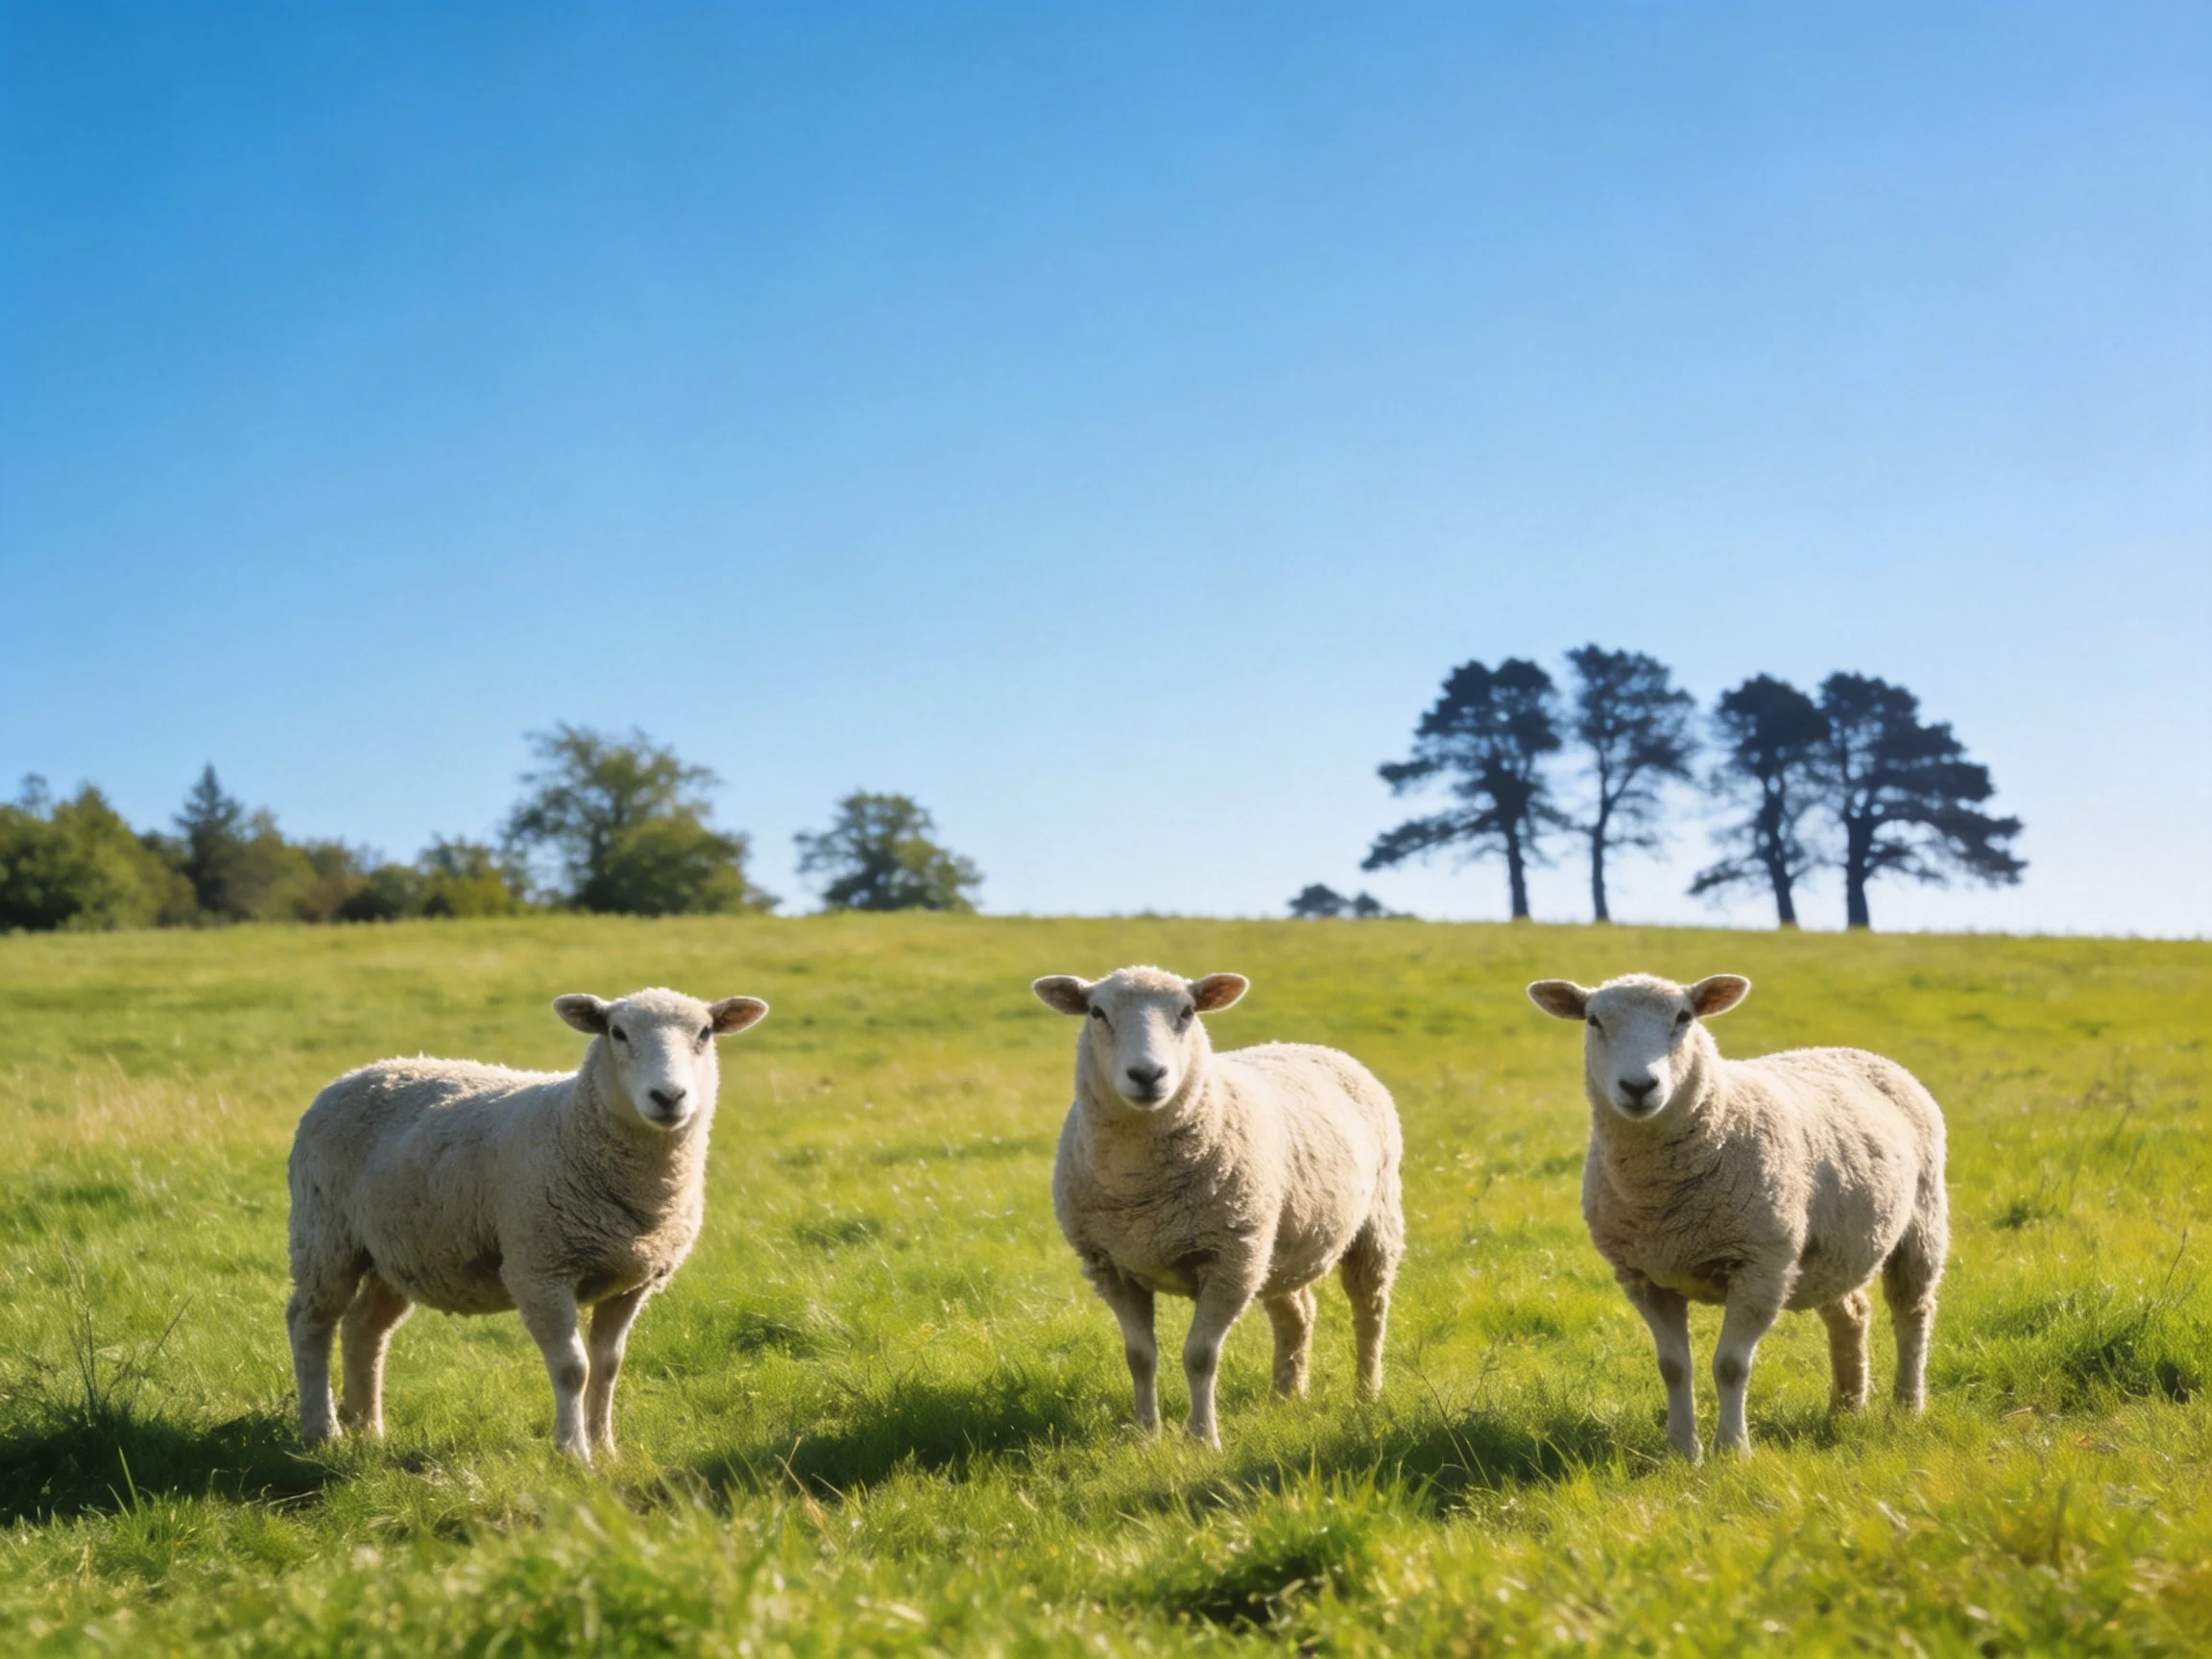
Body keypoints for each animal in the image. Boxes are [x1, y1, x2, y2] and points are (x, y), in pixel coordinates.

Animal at [285, 987, 769, 1463]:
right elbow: (573, 1369)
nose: (668, 1097)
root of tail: (360, 1072)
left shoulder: (632, 1282)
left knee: (364, 1329)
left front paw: (606, 1449)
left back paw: (368, 1430)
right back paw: (322, 1431)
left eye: (705, 1032)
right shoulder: (540, 1270)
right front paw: (574, 1455)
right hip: (324, 1234)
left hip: (396, 1252)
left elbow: (608, 1366)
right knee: (310, 1323)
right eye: (617, 1032)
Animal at [1034, 965, 1404, 1447]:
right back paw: (1286, 1395)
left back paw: (1366, 1395)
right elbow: (1139, 1356)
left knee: (1370, 1311)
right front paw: (1146, 1435)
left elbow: (1200, 1356)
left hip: (1374, 1222)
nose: (1147, 1074)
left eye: (1187, 1012)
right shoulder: (1111, 1266)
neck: (1141, 1192)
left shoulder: (1229, 1261)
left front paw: (1202, 1439)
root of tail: (1305, 1045)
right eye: (1097, 1012)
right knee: (1297, 1314)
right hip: (1274, 1246)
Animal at [1527, 972, 1947, 1460]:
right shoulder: (1644, 1276)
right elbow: (1673, 1366)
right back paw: (1845, 1408)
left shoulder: (1761, 1266)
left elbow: (1729, 1365)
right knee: (1851, 1312)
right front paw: (1682, 1451)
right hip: (1829, 1251)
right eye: (1594, 1020)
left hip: (1922, 1222)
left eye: (1684, 1017)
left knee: (1913, 1312)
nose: (1638, 1086)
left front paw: (1732, 1450)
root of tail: (1856, 1051)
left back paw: (1907, 1408)